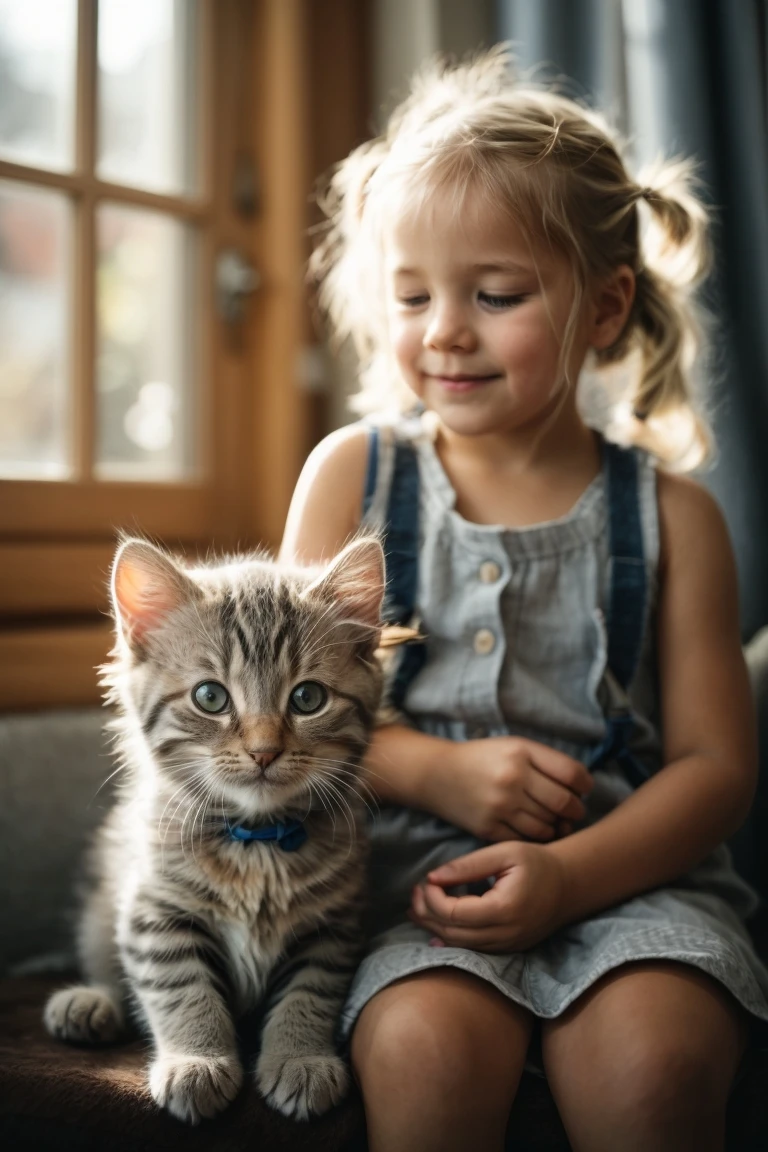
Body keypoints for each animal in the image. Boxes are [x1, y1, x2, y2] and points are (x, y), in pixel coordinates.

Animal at [42, 536, 384, 1124]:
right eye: (210, 697)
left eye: (308, 698)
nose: (264, 751)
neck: (257, 840)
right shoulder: (154, 912)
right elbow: (181, 988)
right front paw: (196, 1061)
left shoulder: (335, 924)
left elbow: (310, 991)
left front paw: (300, 1057)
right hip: (104, 902)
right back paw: (90, 1002)